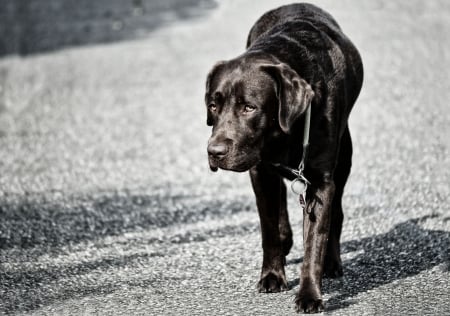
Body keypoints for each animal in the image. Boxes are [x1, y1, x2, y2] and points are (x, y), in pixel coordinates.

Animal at [204, 3, 362, 314]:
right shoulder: (260, 172)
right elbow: (269, 229)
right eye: (214, 105)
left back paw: (332, 262)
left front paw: (310, 294)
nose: (214, 152)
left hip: (344, 157)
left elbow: (315, 240)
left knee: (336, 213)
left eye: (249, 107)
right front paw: (272, 276)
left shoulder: (320, 183)